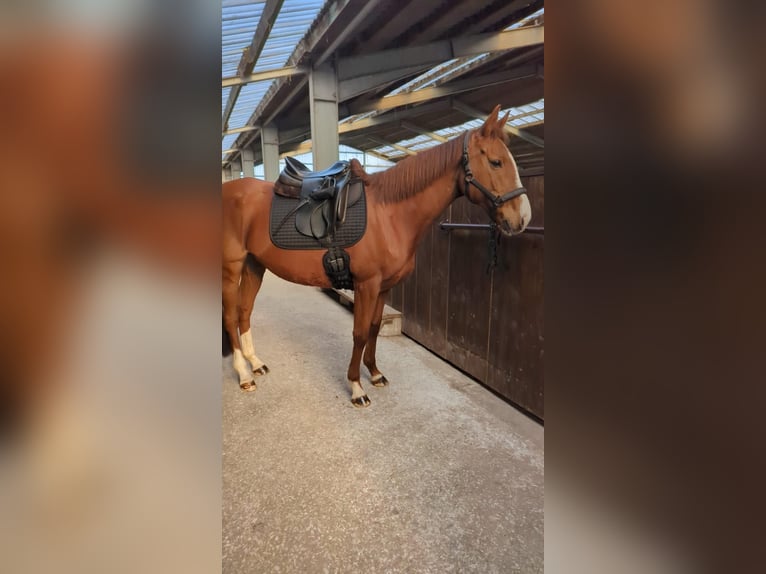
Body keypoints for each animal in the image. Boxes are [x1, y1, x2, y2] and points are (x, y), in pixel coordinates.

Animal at [222, 105, 531, 407]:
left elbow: (373, 328)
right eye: (496, 162)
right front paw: (356, 387)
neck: (389, 214)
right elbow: (359, 333)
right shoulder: (366, 285)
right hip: (232, 267)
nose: (523, 218)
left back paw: (255, 363)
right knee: (229, 315)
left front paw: (374, 373)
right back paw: (244, 375)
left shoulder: (384, 287)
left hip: (254, 265)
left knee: (244, 312)